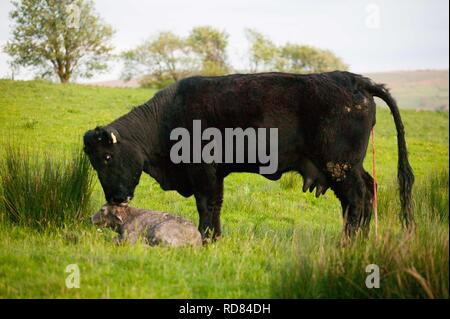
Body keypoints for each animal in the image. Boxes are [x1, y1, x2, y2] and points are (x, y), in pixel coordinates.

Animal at [84, 72, 414, 240]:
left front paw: (206, 237)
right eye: (95, 162)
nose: (116, 198)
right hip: (351, 166)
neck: (166, 115)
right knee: (367, 192)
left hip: (340, 166)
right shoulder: (216, 174)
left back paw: (349, 241)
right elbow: (215, 206)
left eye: (107, 158)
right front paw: (214, 237)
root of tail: (354, 80)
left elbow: (206, 205)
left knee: (356, 199)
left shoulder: (203, 171)